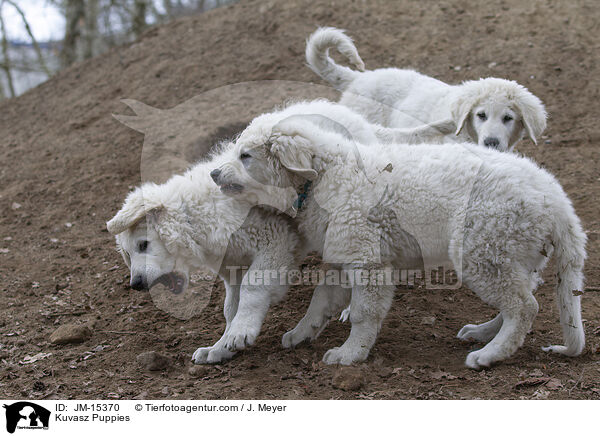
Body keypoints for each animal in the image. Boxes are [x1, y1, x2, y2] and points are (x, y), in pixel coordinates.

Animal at [106, 141, 300, 362]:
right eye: (127, 256)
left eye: (143, 245)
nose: (135, 284)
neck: (192, 217)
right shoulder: (234, 266)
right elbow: (230, 307)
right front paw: (220, 348)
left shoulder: (276, 240)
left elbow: (252, 288)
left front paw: (241, 331)